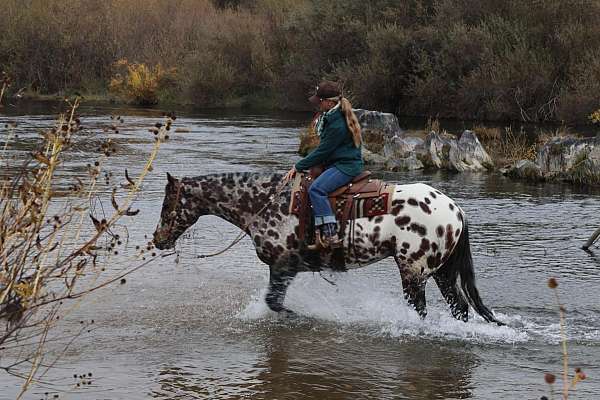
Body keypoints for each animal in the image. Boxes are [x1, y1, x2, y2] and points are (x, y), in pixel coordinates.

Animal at [152, 172, 504, 324]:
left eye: (167, 203)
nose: (158, 239)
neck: (264, 202)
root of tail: (455, 209)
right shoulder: (284, 269)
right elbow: (273, 301)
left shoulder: (283, 265)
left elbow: (274, 303)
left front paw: (302, 318)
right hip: (442, 271)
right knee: (459, 307)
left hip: (414, 273)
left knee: (421, 309)